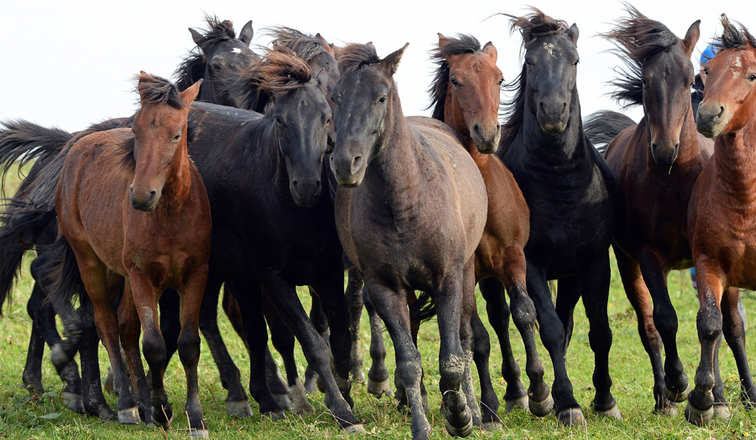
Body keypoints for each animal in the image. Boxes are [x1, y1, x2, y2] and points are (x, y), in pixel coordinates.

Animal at [55, 74, 211, 434]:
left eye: (176, 133)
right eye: (136, 131)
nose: (141, 196)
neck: (171, 214)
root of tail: (78, 151)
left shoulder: (196, 274)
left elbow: (188, 344)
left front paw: (194, 418)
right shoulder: (142, 276)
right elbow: (153, 344)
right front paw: (161, 409)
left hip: (120, 273)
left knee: (126, 328)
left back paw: (140, 404)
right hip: (93, 264)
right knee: (107, 325)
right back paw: (128, 405)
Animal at [332, 42, 488, 440]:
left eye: (381, 97)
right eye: (335, 98)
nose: (346, 163)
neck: (406, 201)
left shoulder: (448, 280)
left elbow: (452, 358)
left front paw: (460, 415)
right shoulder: (385, 288)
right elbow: (408, 360)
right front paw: (422, 423)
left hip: (466, 275)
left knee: (465, 337)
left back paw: (474, 411)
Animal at [428, 32, 548, 424]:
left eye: (499, 78)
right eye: (455, 80)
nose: (487, 134)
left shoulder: (513, 257)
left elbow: (525, 314)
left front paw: (540, 393)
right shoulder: (465, 270)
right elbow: (477, 339)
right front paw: (490, 405)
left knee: (504, 317)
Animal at [478, 8, 620, 424]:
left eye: (575, 60)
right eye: (530, 62)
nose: (554, 112)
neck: (562, 185)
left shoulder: (592, 262)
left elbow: (598, 330)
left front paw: (604, 400)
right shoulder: (532, 264)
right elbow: (551, 329)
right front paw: (568, 403)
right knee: (502, 319)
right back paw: (519, 394)